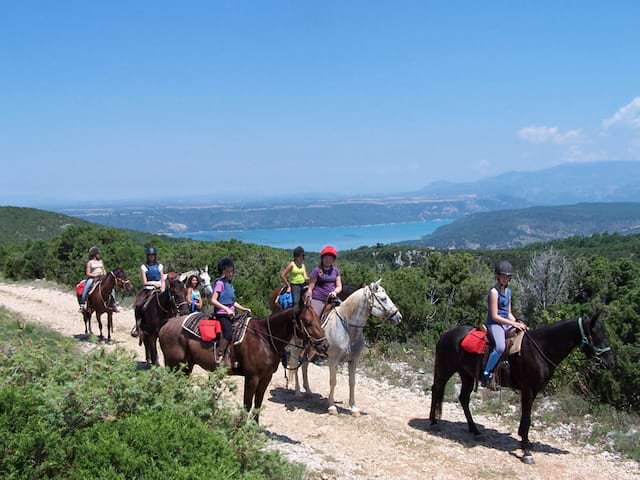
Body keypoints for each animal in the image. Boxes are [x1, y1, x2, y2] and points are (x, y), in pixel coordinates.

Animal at [159, 302, 328, 422]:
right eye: (308, 322)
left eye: (319, 319)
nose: (324, 345)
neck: (265, 339)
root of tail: (166, 325)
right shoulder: (252, 378)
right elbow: (247, 404)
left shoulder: (266, 378)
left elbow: (258, 404)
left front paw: (255, 428)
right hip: (173, 364)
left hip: (186, 365)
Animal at [290, 282, 400, 416]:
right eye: (383, 299)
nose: (399, 317)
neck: (347, 328)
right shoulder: (333, 360)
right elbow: (333, 381)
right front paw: (332, 407)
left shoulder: (353, 361)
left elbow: (352, 382)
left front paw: (354, 408)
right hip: (297, 348)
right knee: (295, 366)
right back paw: (297, 392)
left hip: (311, 350)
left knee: (305, 365)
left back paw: (308, 391)